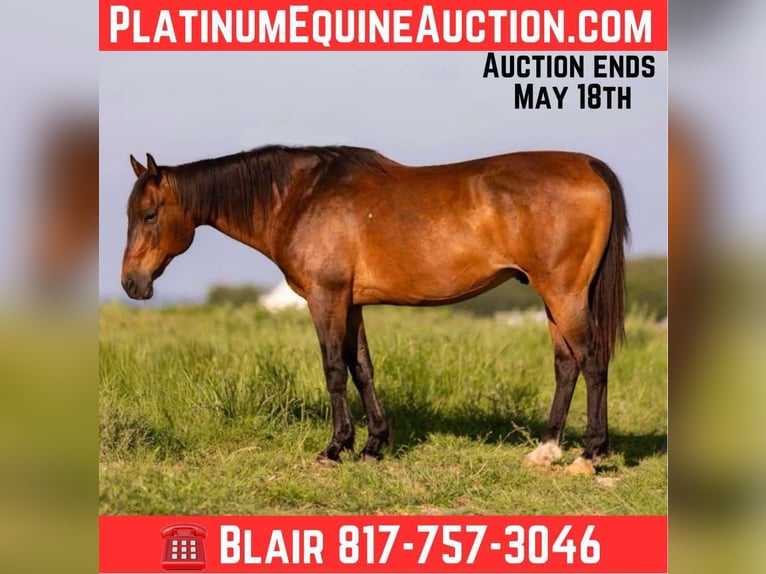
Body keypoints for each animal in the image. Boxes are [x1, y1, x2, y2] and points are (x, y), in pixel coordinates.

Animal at [121, 145, 629, 475]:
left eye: (149, 214)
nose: (131, 283)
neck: (300, 197)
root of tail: (589, 165)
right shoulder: (352, 303)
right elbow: (361, 367)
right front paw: (373, 445)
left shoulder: (326, 297)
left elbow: (333, 369)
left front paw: (335, 448)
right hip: (554, 298)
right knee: (566, 365)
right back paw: (546, 451)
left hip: (563, 293)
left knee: (592, 361)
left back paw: (589, 456)